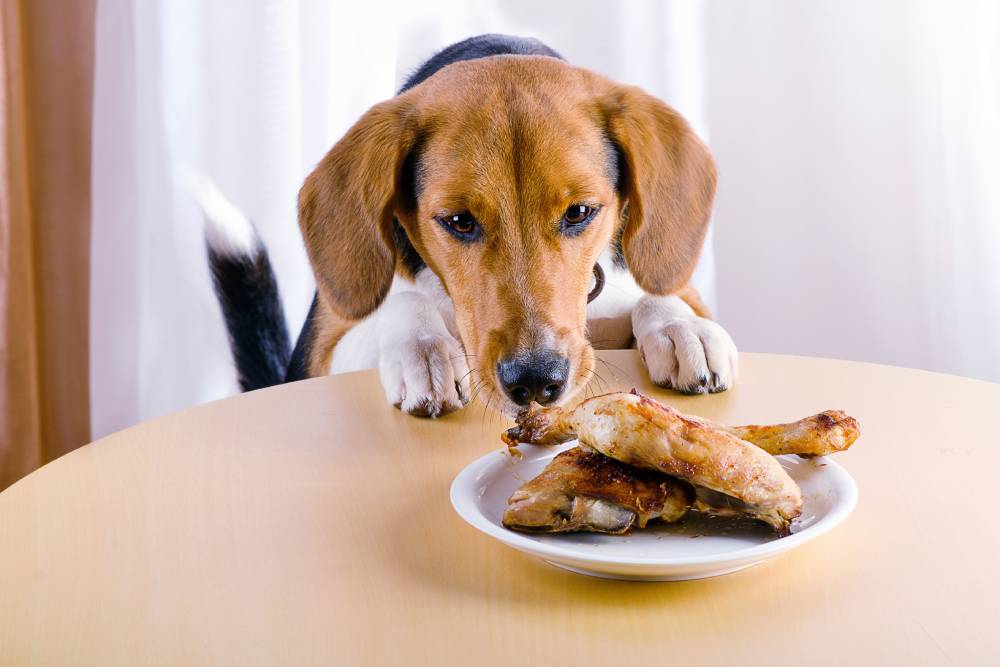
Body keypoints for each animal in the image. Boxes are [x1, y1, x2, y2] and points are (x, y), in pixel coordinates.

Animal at [203, 34, 740, 418]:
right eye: (458, 221)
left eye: (580, 213)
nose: (535, 381)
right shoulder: (320, 356)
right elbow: (404, 301)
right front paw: (423, 350)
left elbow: (660, 296)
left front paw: (682, 328)